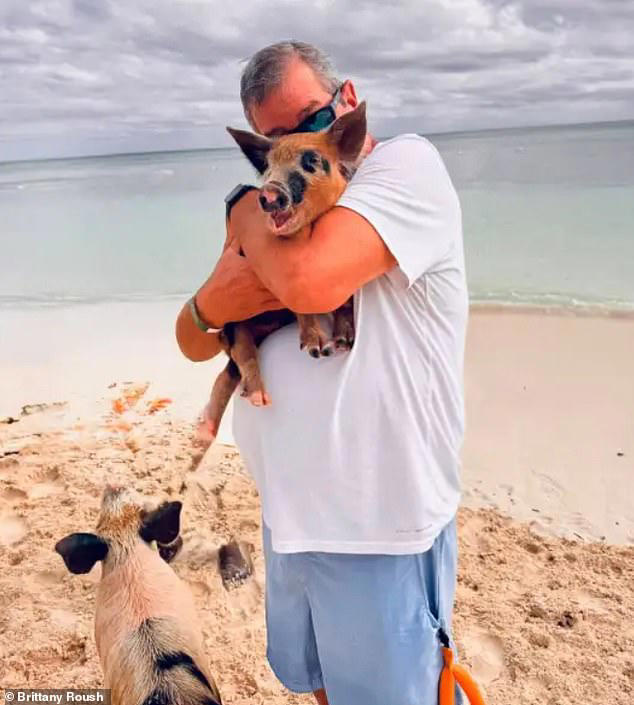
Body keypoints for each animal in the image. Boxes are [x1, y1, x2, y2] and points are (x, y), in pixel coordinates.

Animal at [202, 101, 367, 441]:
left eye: (312, 160)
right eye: (268, 166)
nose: (268, 193)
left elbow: (343, 303)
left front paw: (343, 343)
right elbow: (303, 309)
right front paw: (315, 349)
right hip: (232, 324)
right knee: (242, 352)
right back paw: (257, 399)